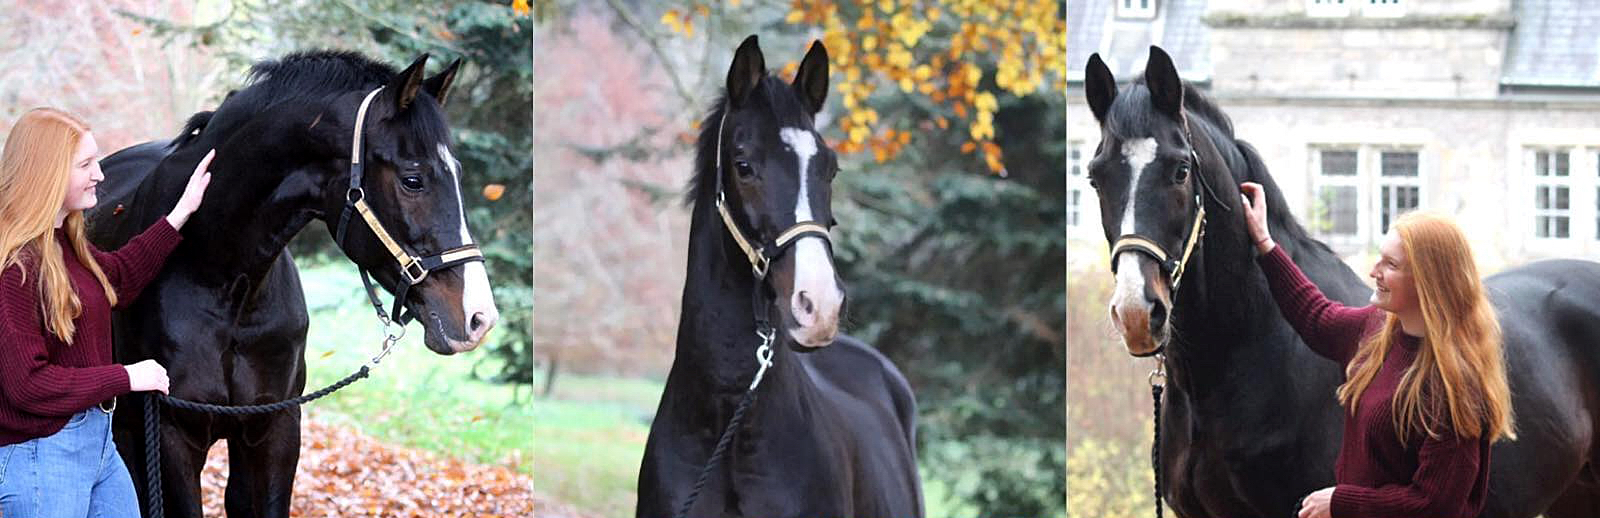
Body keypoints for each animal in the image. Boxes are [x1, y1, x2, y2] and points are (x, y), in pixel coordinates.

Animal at [86, 49, 499, 518]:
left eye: (458, 174)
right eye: (413, 179)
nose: (478, 317)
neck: (224, 280)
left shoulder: (276, 429)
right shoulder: (172, 434)